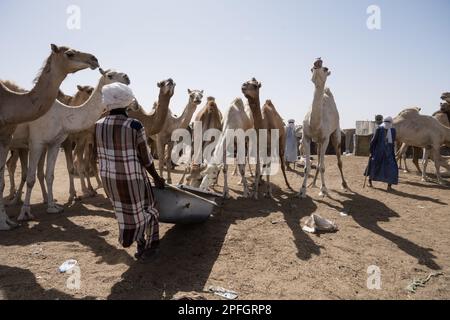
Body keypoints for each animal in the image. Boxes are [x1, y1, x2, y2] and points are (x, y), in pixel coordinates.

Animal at [10, 69, 132, 221]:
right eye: (110, 75)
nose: (127, 78)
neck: (62, 114)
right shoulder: (37, 142)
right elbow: (31, 179)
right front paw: (25, 213)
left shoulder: (54, 143)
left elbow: (50, 175)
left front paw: (53, 207)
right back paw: (14, 201)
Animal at [298, 57, 348, 198]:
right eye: (312, 68)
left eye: (325, 69)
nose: (318, 60)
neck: (315, 124)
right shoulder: (306, 138)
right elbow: (307, 167)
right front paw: (302, 190)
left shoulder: (325, 138)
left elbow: (323, 167)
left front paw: (323, 190)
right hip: (317, 142)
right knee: (319, 159)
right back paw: (313, 183)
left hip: (335, 134)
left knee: (338, 161)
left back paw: (344, 185)